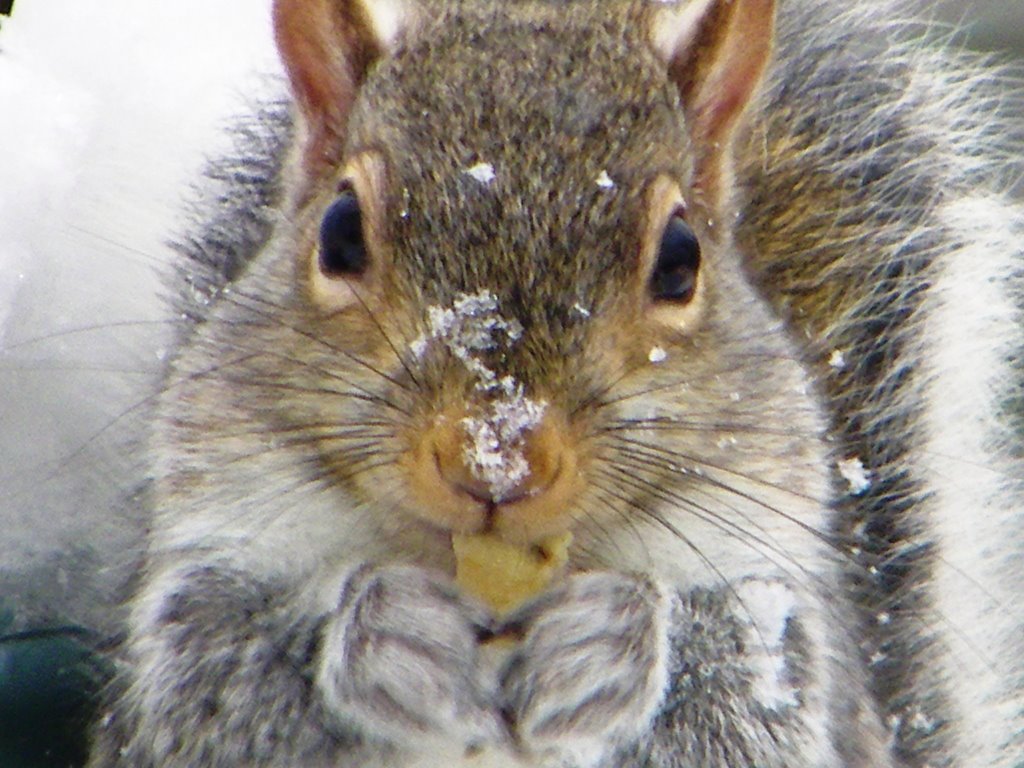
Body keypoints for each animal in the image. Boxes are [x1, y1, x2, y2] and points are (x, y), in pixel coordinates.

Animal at [86, 1, 1024, 768]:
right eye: (339, 231)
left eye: (680, 260)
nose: (494, 460)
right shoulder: (214, 542)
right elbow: (207, 681)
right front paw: (389, 628)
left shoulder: (771, 584)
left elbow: (748, 705)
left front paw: (616, 641)